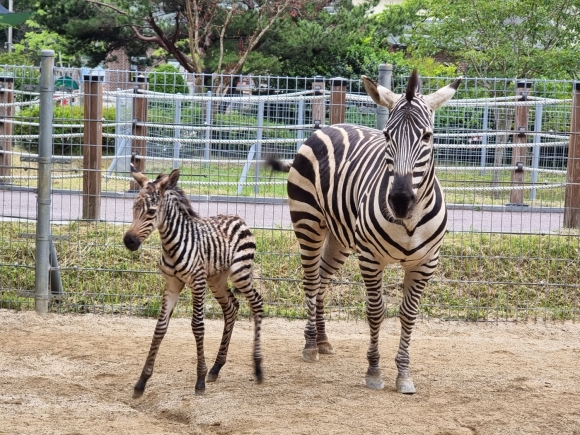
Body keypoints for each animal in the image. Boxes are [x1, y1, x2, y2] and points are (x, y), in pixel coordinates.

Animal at [125, 165, 266, 400]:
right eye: (133, 208)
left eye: (151, 212)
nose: (129, 241)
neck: (171, 245)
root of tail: (238, 218)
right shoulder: (172, 284)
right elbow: (160, 327)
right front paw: (141, 382)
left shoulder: (197, 282)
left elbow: (198, 326)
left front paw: (199, 380)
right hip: (217, 279)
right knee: (231, 308)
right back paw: (216, 367)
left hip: (240, 273)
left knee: (256, 302)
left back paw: (257, 367)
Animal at [268, 71, 462, 396]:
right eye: (387, 135)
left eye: (427, 136)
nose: (400, 200)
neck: (409, 221)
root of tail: (330, 126)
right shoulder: (371, 258)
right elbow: (376, 311)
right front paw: (374, 371)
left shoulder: (426, 263)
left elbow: (408, 314)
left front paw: (404, 375)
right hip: (308, 223)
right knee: (311, 281)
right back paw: (310, 344)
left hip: (340, 237)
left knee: (323, 280)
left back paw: (323, 340)